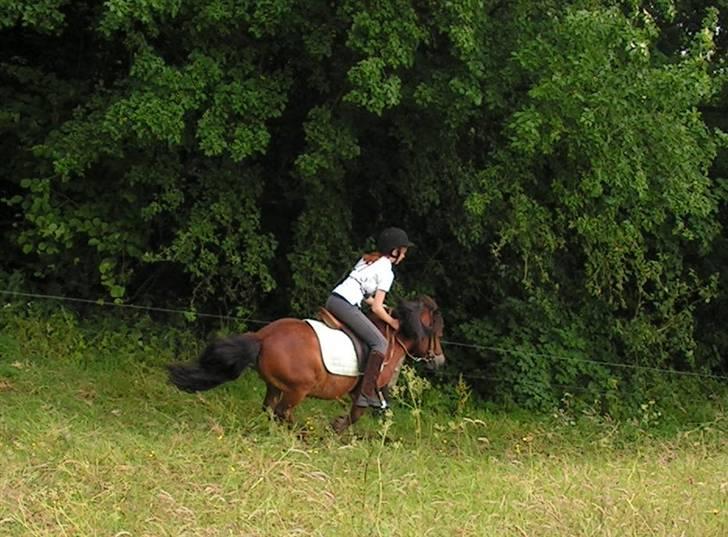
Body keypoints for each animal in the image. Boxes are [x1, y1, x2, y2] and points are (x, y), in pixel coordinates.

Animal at [169, 296, 444, 430]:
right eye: (438, 333)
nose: (440, 361)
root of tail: (263, 336)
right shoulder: (366, 391)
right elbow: (356, 414)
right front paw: (335, 427)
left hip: (275, 386)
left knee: (270, 409)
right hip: (297, 389)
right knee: (283, 412)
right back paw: (302, 433)